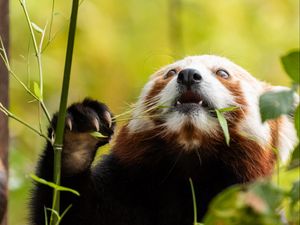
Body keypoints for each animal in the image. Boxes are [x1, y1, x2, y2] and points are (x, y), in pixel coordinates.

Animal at [30, 55, 298, 225]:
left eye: (222, 73)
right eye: (171, 72)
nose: (188, 75)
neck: (191, 160)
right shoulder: (124, 188)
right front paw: (78, 139)